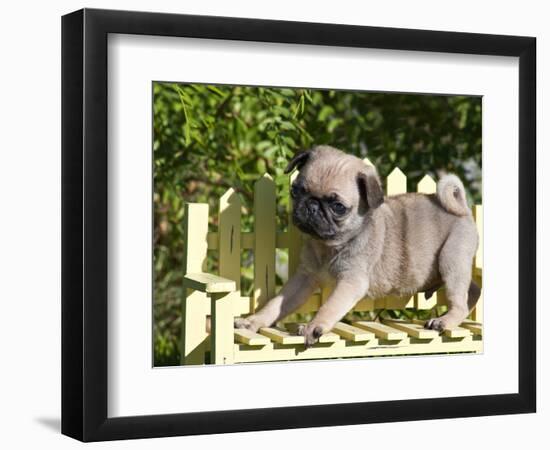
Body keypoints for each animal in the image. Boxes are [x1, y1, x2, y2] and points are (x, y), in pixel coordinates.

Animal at [235, 146, 480, 346]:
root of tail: (463, 210)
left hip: (451, 259)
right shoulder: (303, 278)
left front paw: (314, 326)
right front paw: (253, 321)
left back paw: (444, 321)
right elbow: (275, 304)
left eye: (338, 207)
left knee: (459, 298)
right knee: (473, 290)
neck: (328, 246)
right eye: (296, 191)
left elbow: (329, 306)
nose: (311, 205)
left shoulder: (351, 282)